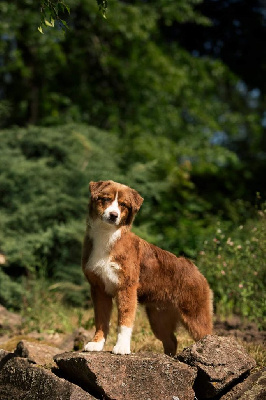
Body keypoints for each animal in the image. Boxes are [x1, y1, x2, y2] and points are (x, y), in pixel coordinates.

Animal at [81, 180, 212, 354]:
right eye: (106, 199)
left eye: (123, 204)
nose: (113, 215)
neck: (107, 235)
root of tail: (194, 268)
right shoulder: (99, 288)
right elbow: (101, 320)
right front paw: (96, 344)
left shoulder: (126, 287)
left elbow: (124, 321)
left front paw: (121, 347)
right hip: (159, 318)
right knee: (172, 340)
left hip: (196, 315)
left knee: (209, 335)